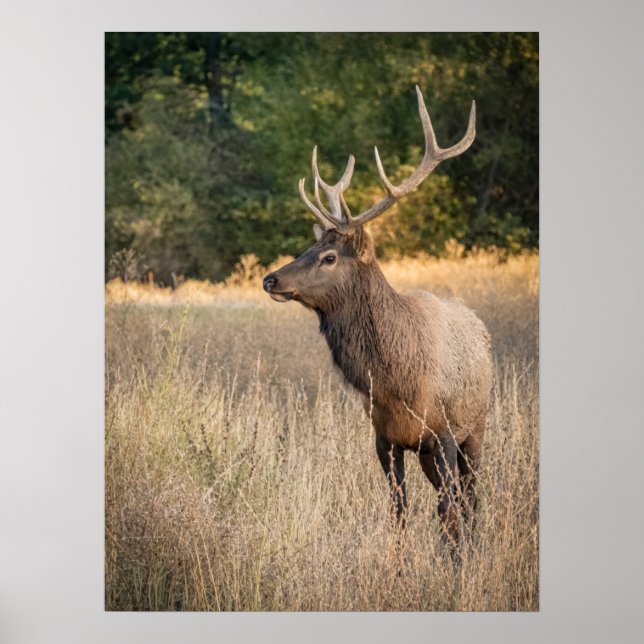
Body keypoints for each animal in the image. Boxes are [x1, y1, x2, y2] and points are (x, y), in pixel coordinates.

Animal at [263, 87, 492, 547]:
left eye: (330, 257)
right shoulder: (385, 438)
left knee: (469, 499)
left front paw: (455, 562)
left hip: (476, 427)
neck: (394, 382)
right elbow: (399, 512)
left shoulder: (443, 431)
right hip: (428, 451)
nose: (271, 278)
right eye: (310, 248)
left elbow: (448, 512)